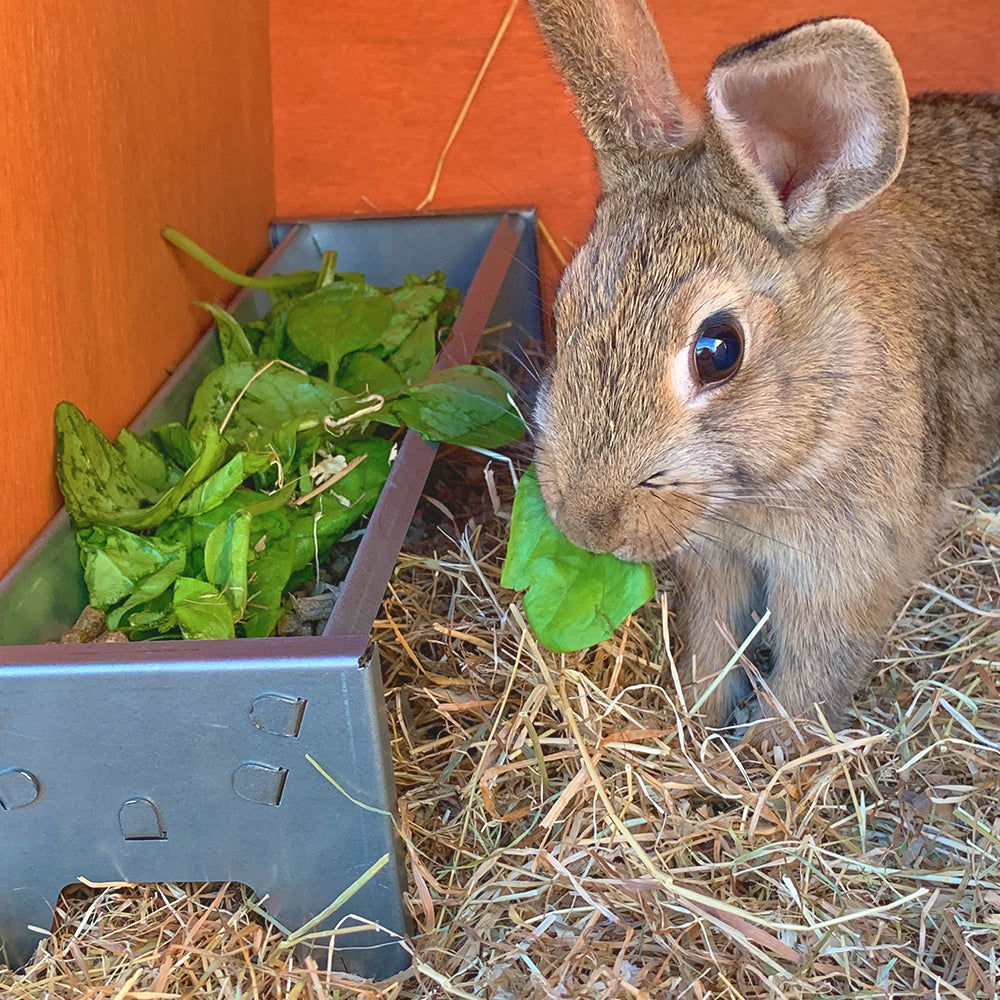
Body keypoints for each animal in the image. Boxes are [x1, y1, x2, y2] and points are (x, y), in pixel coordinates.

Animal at [528, 1, 1000, 744]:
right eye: (566, 305)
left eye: (718, 350)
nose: (585, 527)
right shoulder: (716, 562)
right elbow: (715, 638)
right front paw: (698, 721)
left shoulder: (847, 570)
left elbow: (814, 668)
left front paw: (769, 750)